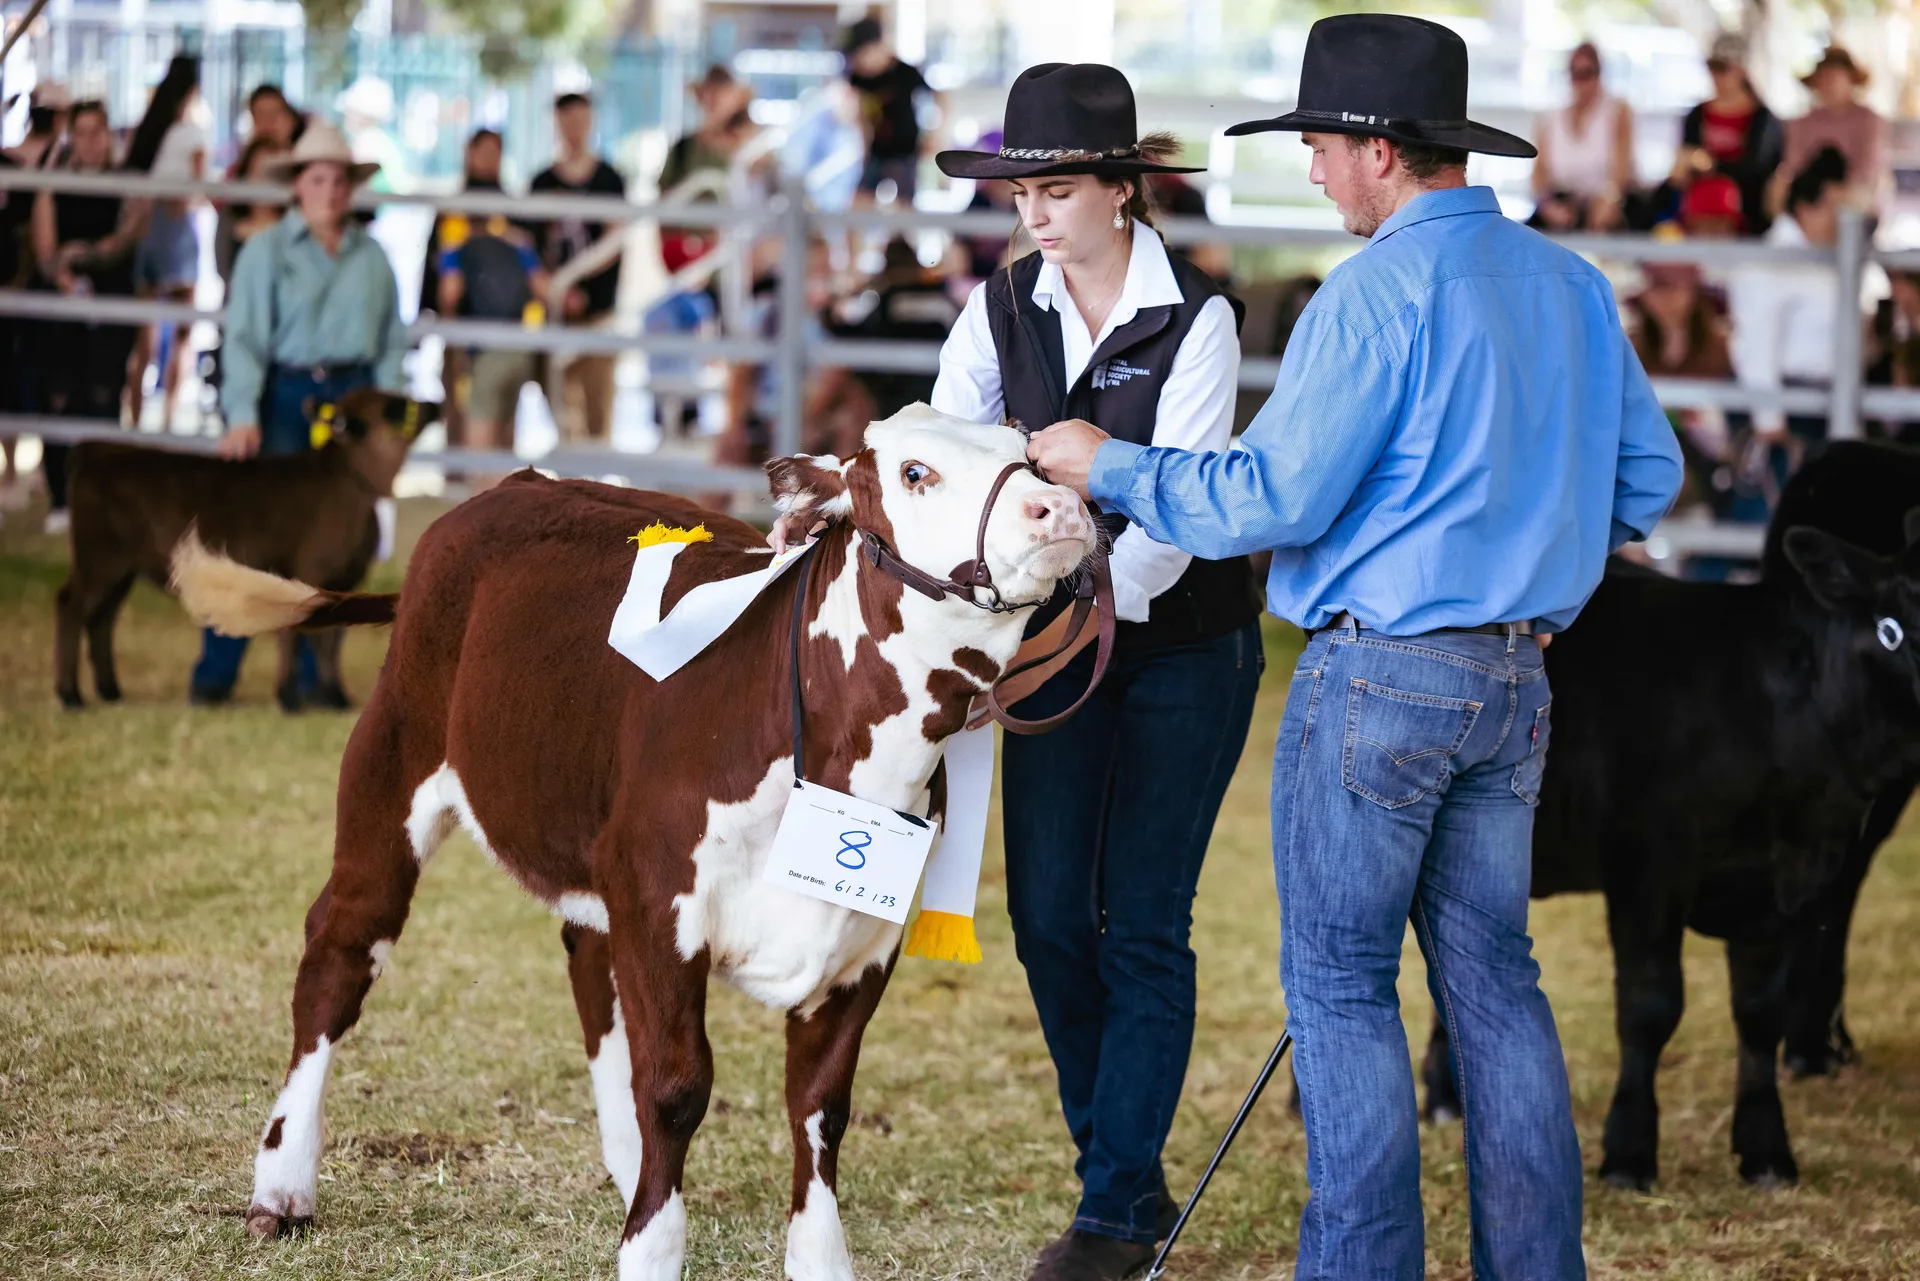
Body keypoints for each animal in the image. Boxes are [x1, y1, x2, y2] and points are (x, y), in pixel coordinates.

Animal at [56, 389, 437, 711]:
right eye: (393, 406)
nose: (433, 404)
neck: (348, 483)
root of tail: (97, 450)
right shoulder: (309, 567)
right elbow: (303, 637)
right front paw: (289, 699)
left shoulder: (341, 576)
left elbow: (329, 638)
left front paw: (334, 697)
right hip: (99, 557)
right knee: (72, 606)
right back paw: (71, 696)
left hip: (120, 566)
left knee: (102, 617)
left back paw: (110, 692)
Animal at [170, 405, 1097, 1280]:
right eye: (914, 471)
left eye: (1030, 453)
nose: (1060, 506)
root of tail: (508, 487)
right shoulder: (660, 907)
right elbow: (678, 1086)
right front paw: (652, 1249)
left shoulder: (865, 942)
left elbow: (820, 1105)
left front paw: (814, 1258)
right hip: (391, 761)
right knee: (340, 951)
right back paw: (282, 1185)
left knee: (587, 965)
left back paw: (625, 1167)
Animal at [1416, 452, 1920, 1190]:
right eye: (1890, 629)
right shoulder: (1648, 866)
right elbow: (1651, 1007)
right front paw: (1628, 1152)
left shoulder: (1786, 883)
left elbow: (1760, 1011)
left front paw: (1767, 1149)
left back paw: (1447, 1094)